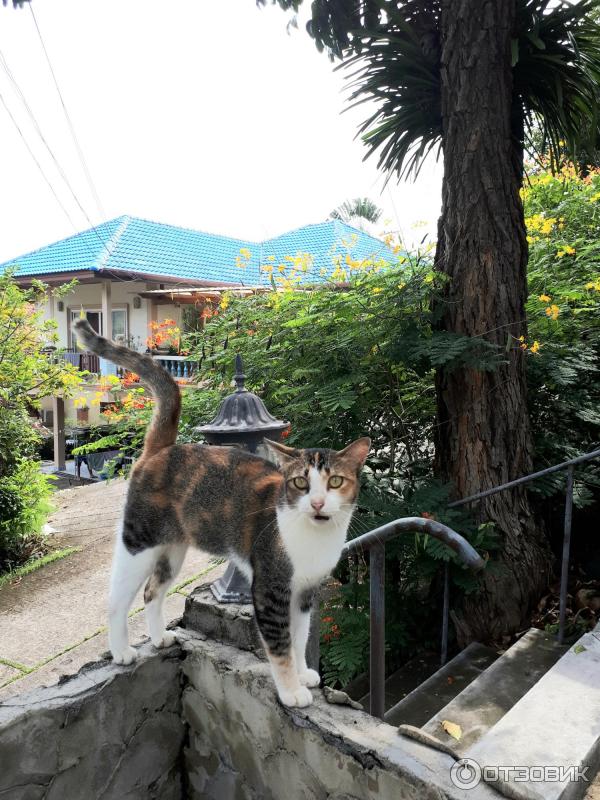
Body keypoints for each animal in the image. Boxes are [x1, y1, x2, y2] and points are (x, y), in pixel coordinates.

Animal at [72, 318, 368, 708]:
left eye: (335, 481)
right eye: (300, 483)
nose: (318, 503)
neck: (314, 539)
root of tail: (162, 448)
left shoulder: (305, 591)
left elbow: (301, 636)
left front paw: (304, 672)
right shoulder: (270, 588)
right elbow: (280, 646)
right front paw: (291, 690)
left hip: (172, 551)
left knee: (153, 592)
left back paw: (159, 637)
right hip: (139, 542)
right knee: (117, 599)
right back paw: (121, 650)